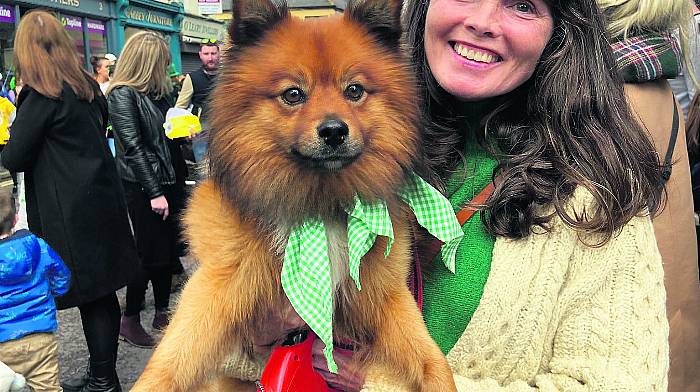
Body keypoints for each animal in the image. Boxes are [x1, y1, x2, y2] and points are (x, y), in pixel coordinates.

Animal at [131, 1, 460, 390]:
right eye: (293, 94)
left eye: (354, 90)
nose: (333, 131)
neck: (320, 205)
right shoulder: (222, 283)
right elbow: (173, 358)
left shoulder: (384, 294)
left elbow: (431, 358)